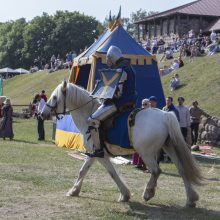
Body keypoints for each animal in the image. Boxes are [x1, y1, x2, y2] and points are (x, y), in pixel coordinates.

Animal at [41, 80, 203, 206]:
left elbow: (110, 173)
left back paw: (148, 193)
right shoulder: (94, 154)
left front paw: (124, 194)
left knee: (156, 171)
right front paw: (75, 190)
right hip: (169, 147)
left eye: (54, 97)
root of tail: (165, 115)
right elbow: (84, 170)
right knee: (182, 169)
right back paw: (191, 198)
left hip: (146, 153)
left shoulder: (98, 154)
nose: (42, 114)